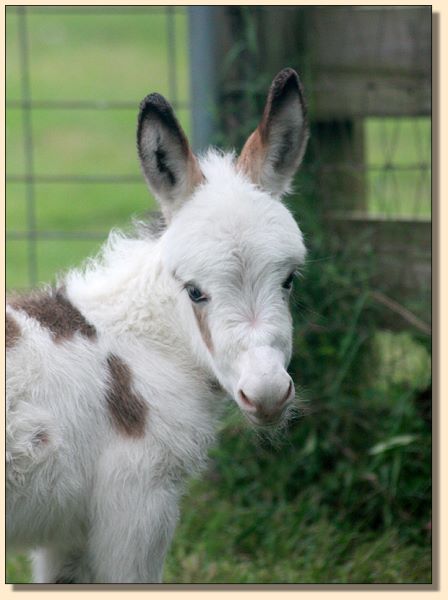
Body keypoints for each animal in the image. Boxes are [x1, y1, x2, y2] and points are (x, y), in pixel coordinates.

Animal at [5, 68, 310, 584]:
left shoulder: (68, 535)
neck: (138, 349)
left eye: (289, 279)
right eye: (194, 291)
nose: (267, 394)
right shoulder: (137, 506)